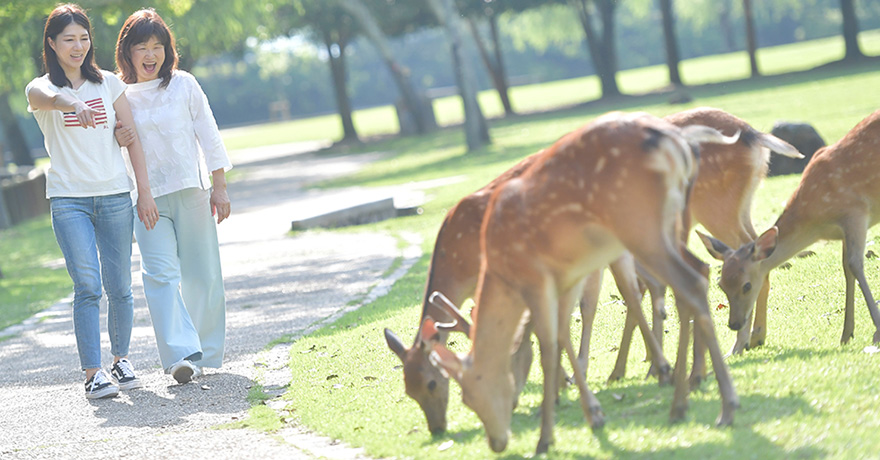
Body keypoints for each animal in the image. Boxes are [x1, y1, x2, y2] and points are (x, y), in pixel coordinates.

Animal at [426, 110, 736, 452]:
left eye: (466, 396)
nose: (496, 443)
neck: (500, 271)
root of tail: (677, 145)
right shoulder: (568, 276)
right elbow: (565, 331)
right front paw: (593, 414)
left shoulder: (536, 280)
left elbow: (549, 347)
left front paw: (546, 437)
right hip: (670, 224)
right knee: (697, 274)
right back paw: (682, 401)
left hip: (639, 225)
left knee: (689, 283)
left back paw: (722, 405)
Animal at [700, 108, 880, 348]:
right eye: (721, 284)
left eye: (747, 285)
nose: (734, 324)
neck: (817, 223)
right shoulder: (843, 231)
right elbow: (847, 270)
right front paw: (846, 334)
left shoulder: (856, 213)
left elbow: (855, 265)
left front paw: (876, 331)